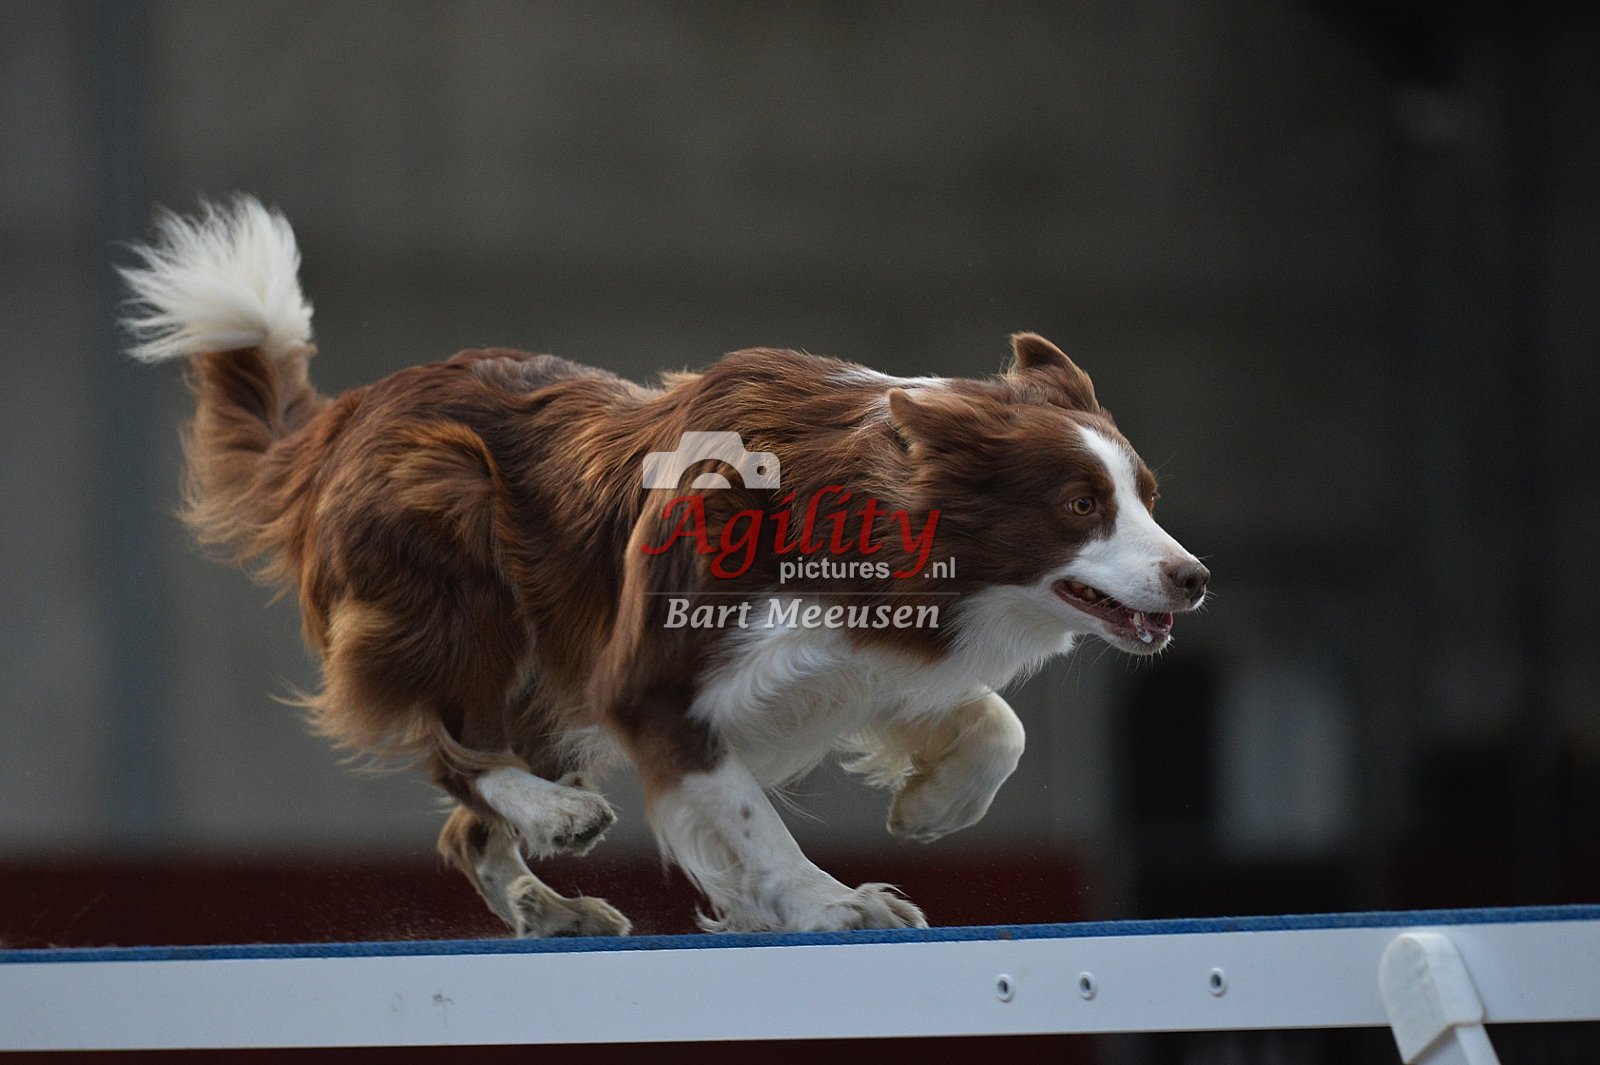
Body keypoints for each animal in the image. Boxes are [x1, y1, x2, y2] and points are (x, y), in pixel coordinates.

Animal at [120, 197, 1208, 936]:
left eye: (1146, 494)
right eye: (1081, 505)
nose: (1194, 577)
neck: (854, 504)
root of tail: (344, 416)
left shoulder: (862, 646)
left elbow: (995, 723)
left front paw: (933, 804)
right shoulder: (650, 677)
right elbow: (745, 811)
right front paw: (824, 900)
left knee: (463, 823)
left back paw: (548, 905)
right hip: (456, 566)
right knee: (449, 743)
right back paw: (553, 811)